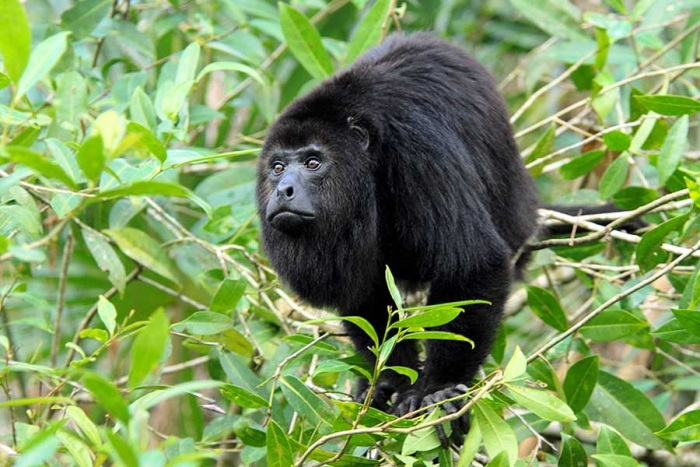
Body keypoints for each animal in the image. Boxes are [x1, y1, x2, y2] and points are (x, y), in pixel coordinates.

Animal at [254, 32, 548, 442]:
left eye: (313, 162)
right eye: (278, 167)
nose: (283, 190)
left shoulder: (416, 149)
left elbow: (473, 263)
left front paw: (440, 390)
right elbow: (363, 294)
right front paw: (393, 384)